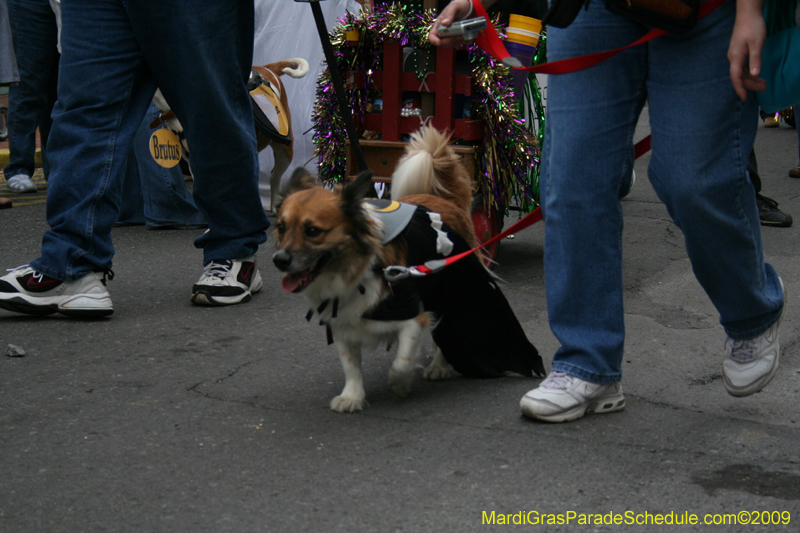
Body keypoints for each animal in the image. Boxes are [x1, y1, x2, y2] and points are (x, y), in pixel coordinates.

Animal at [272, 128, 540, 412]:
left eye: (313, 231)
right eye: (281, 228)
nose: (279, 260)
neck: (359, 270)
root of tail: (445, 200)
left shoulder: (412, 318)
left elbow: (401, 362)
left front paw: (400, 384)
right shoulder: (343, 321)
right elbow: (351, 366)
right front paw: (352, 396)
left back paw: (440, 366)